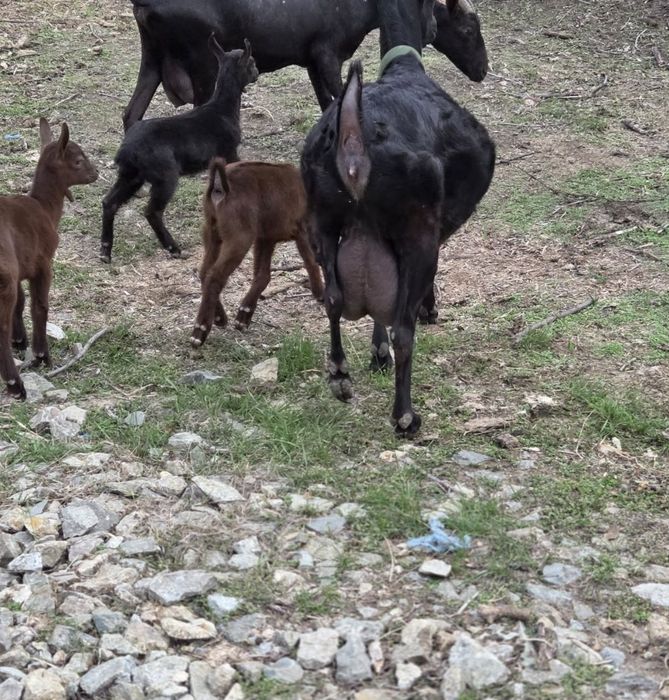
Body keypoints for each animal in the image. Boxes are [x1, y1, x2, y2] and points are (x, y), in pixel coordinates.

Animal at [0, 119, 98, 399]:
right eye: (78, 160)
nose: (96, 173)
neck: (44, 207)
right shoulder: (43, 263)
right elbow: (39, 306)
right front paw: (42, 355)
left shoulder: (19, 265)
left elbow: (21, 304)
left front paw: (20, 341)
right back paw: (15, 384)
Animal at [100, 36, 258, 263]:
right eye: (252, 62)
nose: (257, 73)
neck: (222, 109)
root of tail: (127, 150)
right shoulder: (229, 152)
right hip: (165, 174)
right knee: (152, 211)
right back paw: (173, 248)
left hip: (132, 175)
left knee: (109, 202)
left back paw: (105, 250)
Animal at [123, 0, 487, 127]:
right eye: (468, 30)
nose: (483, 70)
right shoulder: (328, 56)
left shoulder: (313, 59)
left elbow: (327, 103)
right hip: (203, 67)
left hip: (153, 60)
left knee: (131, 114)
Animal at [190, 158, 323, 347]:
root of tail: (220, 184)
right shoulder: (302, 232)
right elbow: (311, 262)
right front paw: (321, 294)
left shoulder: (265, 239)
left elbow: (262, 275)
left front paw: (244, 314)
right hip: (239, 238)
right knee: (214, 277)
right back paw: (199, 331)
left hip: (212, 233)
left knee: (204, 272)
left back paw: (219, 318)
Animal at [301, 0, 495, 436]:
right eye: (469, 26)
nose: (482, 69)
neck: (405, 67)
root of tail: (352, 137)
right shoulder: (433, 227)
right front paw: (428, 308)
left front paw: (376, 353)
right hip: (416, 230)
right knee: (403, 328)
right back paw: (405, 414)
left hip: (323, 222)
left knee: (334, 298)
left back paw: (339, 373)